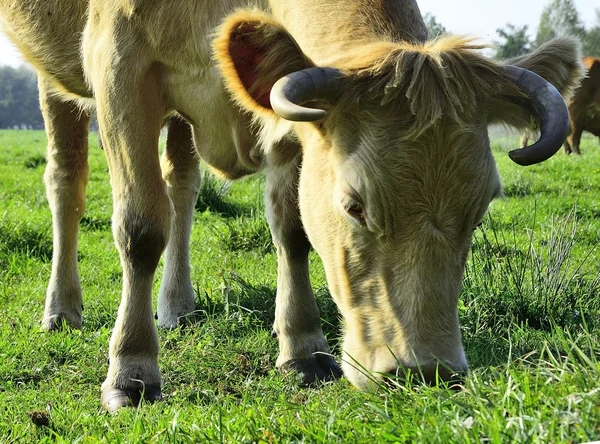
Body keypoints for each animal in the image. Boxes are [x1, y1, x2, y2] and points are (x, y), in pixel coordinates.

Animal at [0, 0, 584, 412]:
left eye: (480, 207)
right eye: (354, 205)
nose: (428, 371)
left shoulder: (291, 120)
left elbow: (292, 229)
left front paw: (303, 348)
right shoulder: (119, 65)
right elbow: (140, 229)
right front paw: (132, 371)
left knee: (181, 186)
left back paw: (178, 305)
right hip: (57, 78)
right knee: (67, 184)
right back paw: (62, 308)